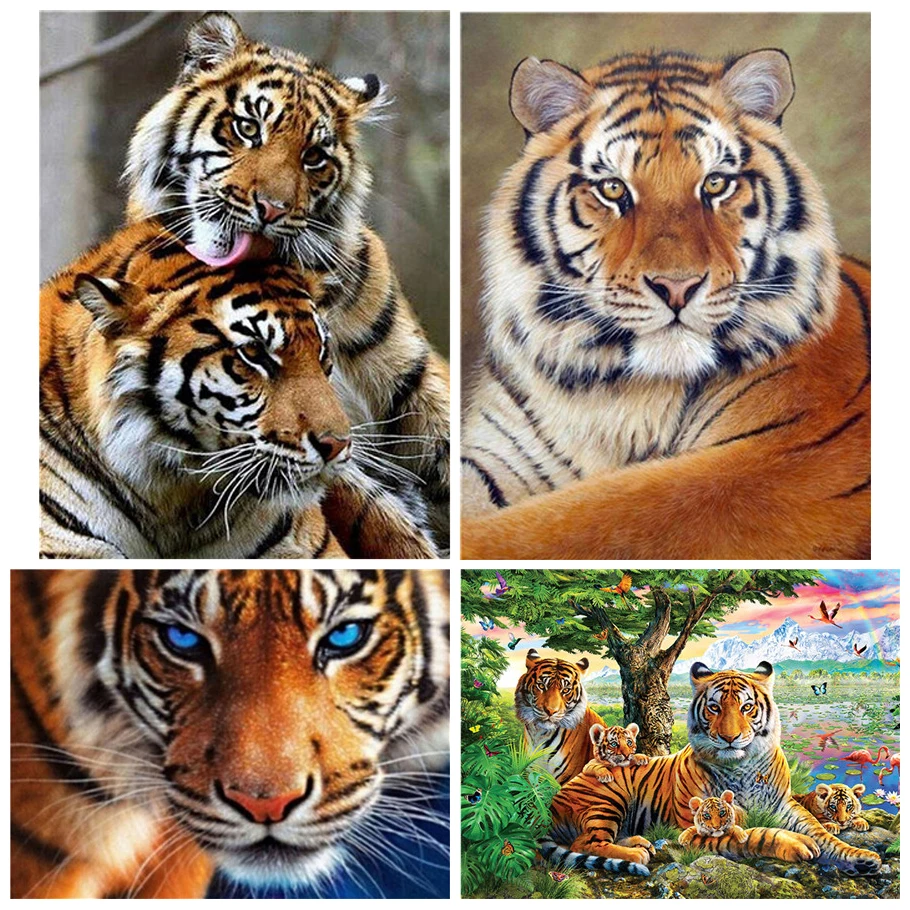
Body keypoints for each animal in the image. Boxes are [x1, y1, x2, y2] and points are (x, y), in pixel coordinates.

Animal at [462, 49, 870, 559]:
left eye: (715, 184)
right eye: (613, 189)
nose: (677, 287)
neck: (615, 393)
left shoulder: (779, 460)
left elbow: (578, 522)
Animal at [543, 661, 882, 877]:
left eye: (747, 707)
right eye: (714, 707)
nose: (729, 737)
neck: (742, 768)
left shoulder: (785, 806)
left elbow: (822, 833)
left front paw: (862, 859)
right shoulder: (692, 829)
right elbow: (755, 835)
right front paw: (796, 844)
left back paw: (639, 842)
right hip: (607, 798)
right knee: (585, 842)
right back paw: (637, 853)